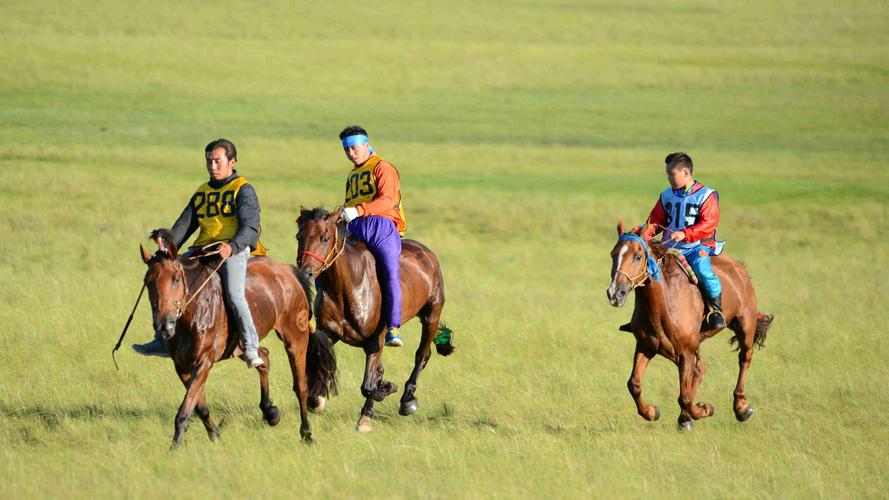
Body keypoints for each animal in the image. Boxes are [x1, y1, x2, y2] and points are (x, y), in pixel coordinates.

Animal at [139, 229, 336, 446]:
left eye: (175, 279)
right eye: (148, 282)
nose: (164, 325)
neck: (193, 313)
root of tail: (287, 271)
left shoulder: (204, 362)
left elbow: (184, 411)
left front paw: (175, 447)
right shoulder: (182, 366)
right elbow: (199, 406)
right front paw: (215, 434)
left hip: (295, 338)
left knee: (300, 386)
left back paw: (306, 433)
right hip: (241, 346)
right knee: (263, 357)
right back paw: (270, 412)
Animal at [295, 207, 454, 432]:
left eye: (325, 238)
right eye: (299, 236)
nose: (305, 273)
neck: (347, 287)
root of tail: (426, 252)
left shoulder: (375, 340)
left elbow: (368, 386)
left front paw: (385, 390)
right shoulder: (329, 332)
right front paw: (316, 399)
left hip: (431, 315)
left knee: (422, 355)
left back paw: (407, 399)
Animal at [606, 221, 774, 430]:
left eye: (638, 256)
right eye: (613, 254)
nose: (615, 293)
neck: (664, 304)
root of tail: (739, 268)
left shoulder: (686, 351)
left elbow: (684, 398)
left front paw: (704, 409)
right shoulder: (646, 346)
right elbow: (634, 384)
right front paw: (652, 412)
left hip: (745, 326)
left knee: (744, 358)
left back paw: (741, 408)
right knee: (699, 369)